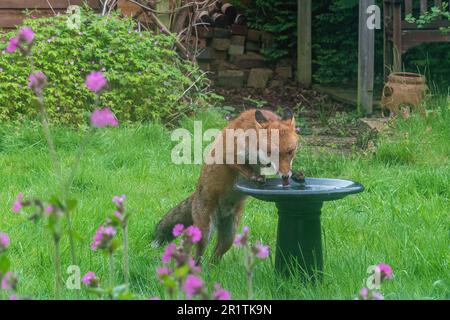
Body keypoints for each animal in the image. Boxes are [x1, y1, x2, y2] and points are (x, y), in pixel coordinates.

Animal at [154, 109, 298, 262]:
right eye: (271, 152)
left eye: (290, 151)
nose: (285, 177)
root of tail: (195, 194)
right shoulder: (227, 153)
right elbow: (243, 168)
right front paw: (255, 177)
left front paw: (296, 175)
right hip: (204, 233)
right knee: (196, 255)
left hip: (229, 237)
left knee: (215, 257)